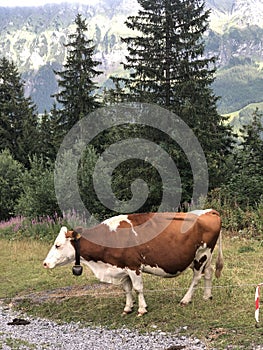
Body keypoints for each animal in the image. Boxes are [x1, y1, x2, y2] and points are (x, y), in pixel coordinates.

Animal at [42, 209, 223, 316]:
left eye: (58, 245)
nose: (45, 263)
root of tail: (209, 211)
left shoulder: (133, 266)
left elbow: (138, 288)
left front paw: (142, 309)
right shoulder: (121, 267)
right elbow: (127, 289)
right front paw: (128, 308)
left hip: (201, 255)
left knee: (196, 278)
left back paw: (186, 299)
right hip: (204, 258)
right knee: (208, 273)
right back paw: (207, 296)